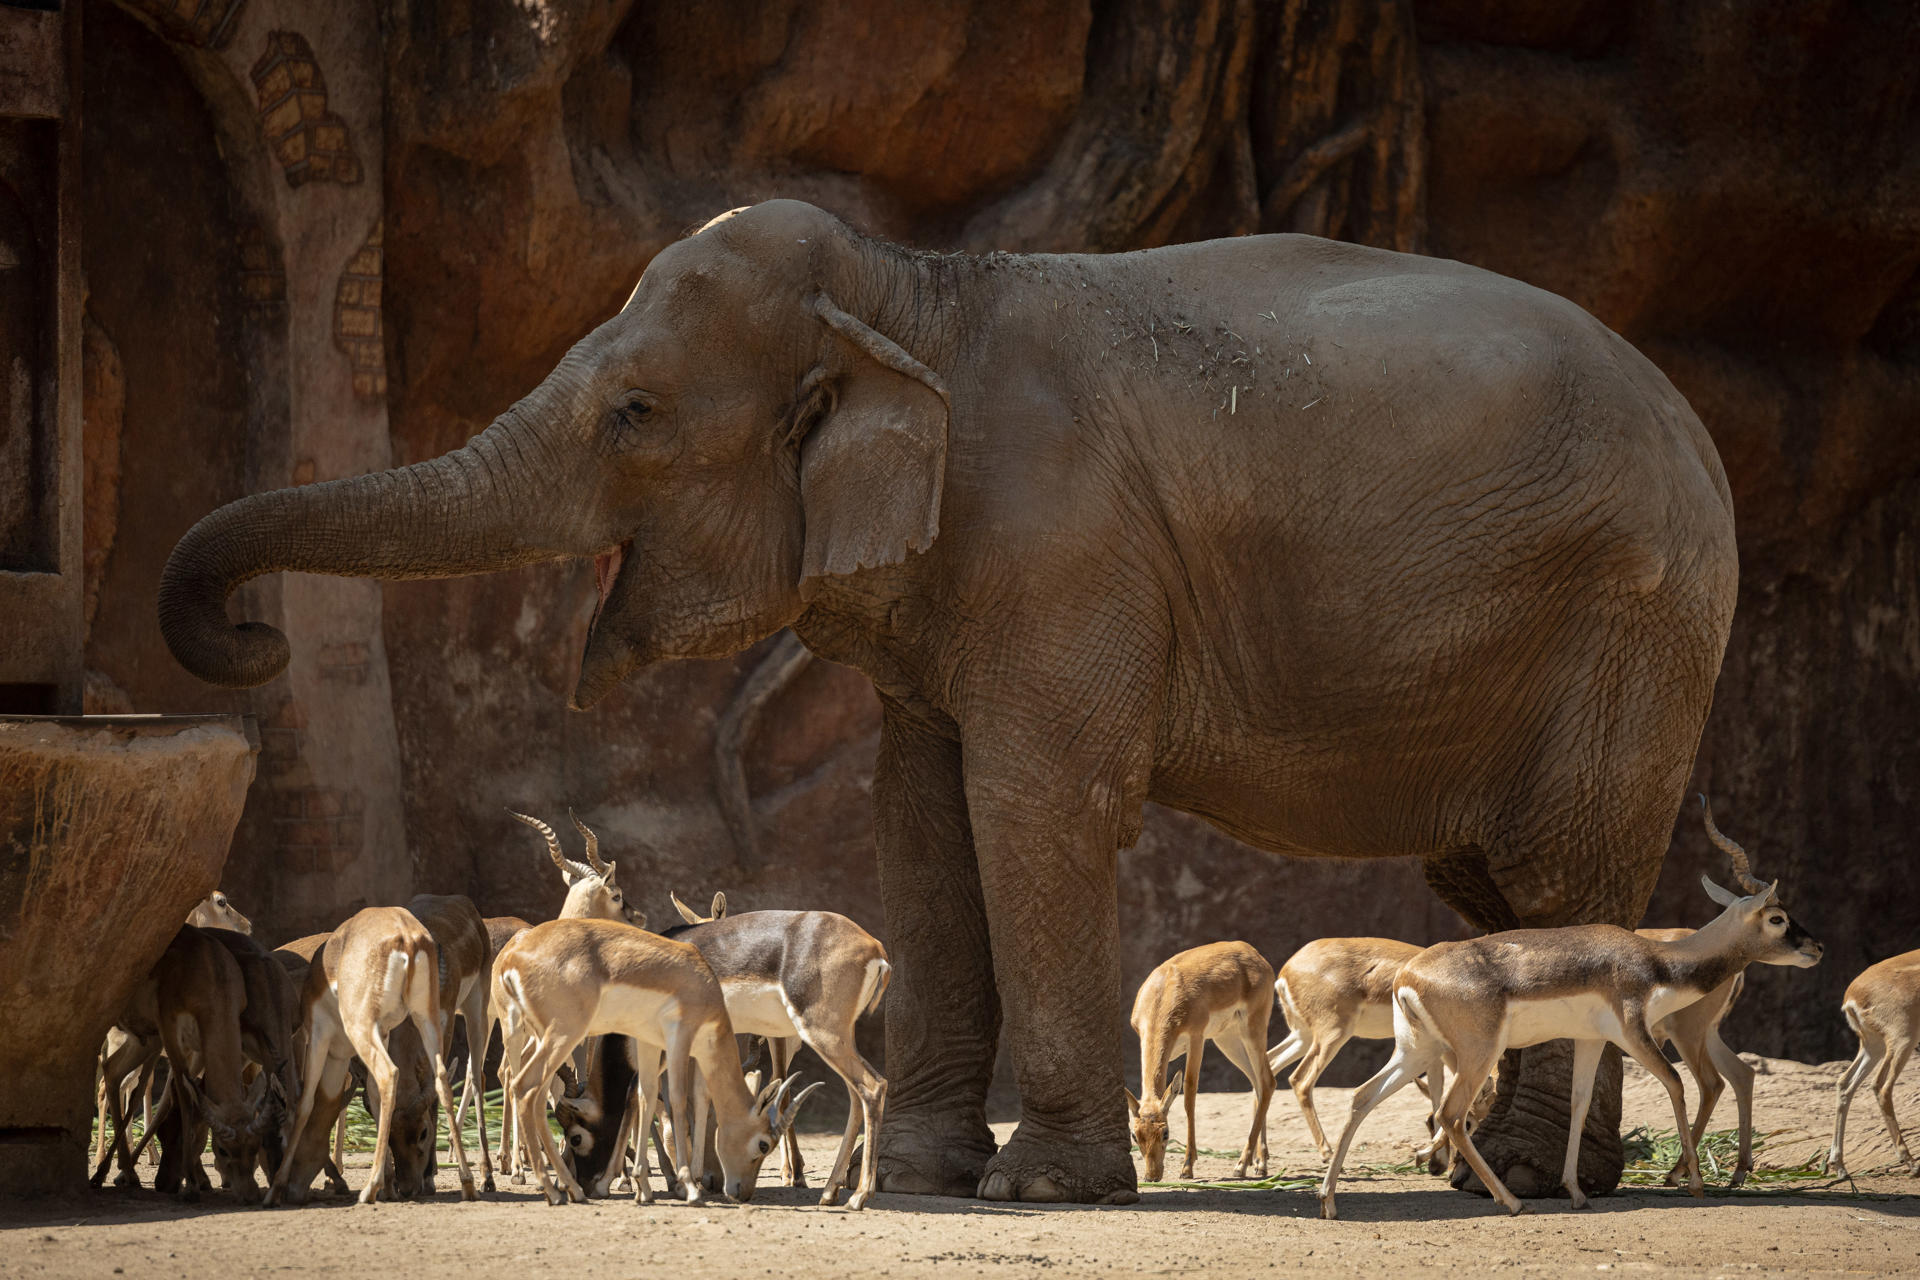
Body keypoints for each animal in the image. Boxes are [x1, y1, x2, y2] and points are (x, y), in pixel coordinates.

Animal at [266, 905, 480, 1205]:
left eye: (281, 1138)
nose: (295, 1192)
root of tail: (407, 938)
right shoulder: (382, 1034)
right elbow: (375, 1099)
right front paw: (389, 1185)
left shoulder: (317, 1034)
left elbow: (305, 1102)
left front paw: (276, 1188)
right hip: (426, 1018)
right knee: (441, 1081)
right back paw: (468, 1184)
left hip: (363, 1027)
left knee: (389, 1074)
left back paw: (368, 1189)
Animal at [1121, 940, 1274, 1182]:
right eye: (1135, 1136)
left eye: (1166, 1133)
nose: (1152, 1176)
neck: (1164, 993)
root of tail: (1252, 952)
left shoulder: (1196, 1039)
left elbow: (1189, 1095)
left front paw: (1187, 1167)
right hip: (1227, 1038)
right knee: (1258, 1084)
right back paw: (1260, 1164)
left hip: (1252, 1030)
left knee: (1268, 1082)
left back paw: (1241, 1165)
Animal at [1820, 948, 1912, 1174]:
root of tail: (1851, 998)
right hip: (1903, 1038)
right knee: (1881, 1086)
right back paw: (1910, 1160)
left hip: (1873, 1045)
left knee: (1845, 1082)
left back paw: (1839, 1165)